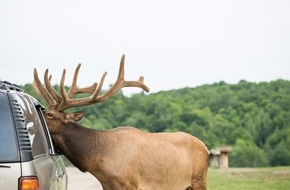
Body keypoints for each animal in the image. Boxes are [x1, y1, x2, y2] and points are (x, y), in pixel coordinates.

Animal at [32, 54, 210, 189]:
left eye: (50, 114)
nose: (31, 124)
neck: (99, 161)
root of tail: (206, 148)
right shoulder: (108, 186)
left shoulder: (130, 183)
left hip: (199, 179)